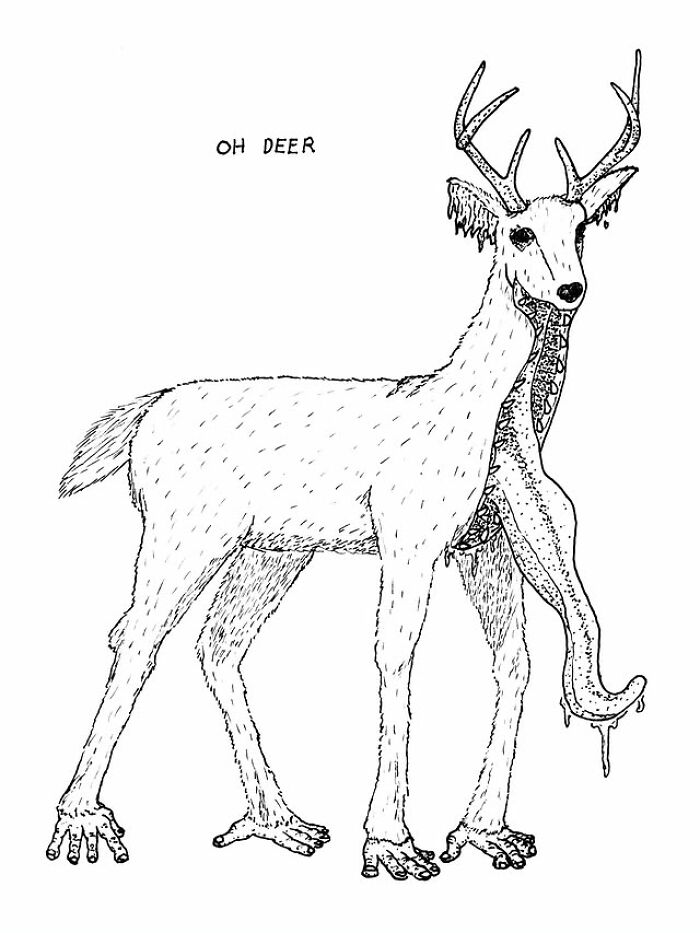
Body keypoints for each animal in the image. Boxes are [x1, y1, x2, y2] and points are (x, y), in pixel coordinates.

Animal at [46, 54, 644, 882]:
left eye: (581, 226)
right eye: (518, 230)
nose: (570, 289)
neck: (476, 414)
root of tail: (147, 412)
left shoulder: (484, 543)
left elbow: (513, 662)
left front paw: (487, 833)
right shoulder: (410, 536)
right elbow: (396, 653)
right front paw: (393, 844)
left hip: (271, 551)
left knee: (215, 645)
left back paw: (283, 822)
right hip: (184, 533)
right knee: (135, 637)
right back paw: (84, 824)